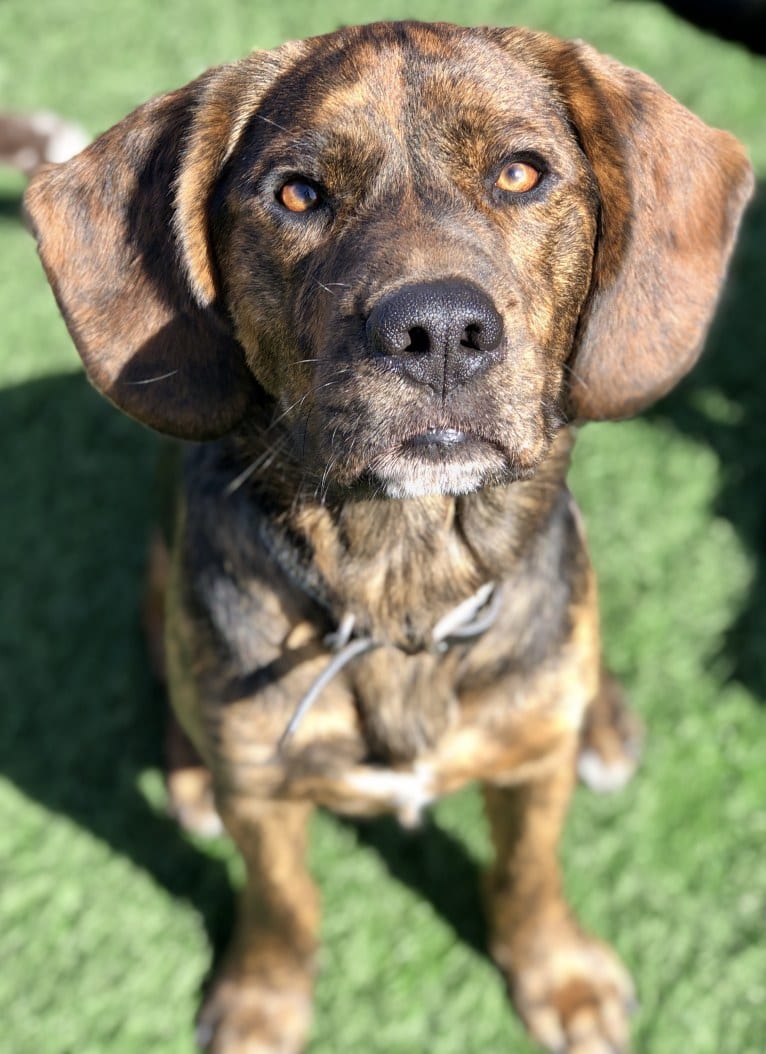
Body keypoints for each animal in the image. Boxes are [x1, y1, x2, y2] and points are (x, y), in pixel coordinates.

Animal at [25, 22, 754, 1054]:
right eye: (297, 192)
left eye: (521, 174)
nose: (439, 330)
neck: (404, 585)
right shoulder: (265, 801)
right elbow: (284, 903)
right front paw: (262, 1000)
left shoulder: (532, 774)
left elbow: (527, 874)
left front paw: (559, 976)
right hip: (162, 585)